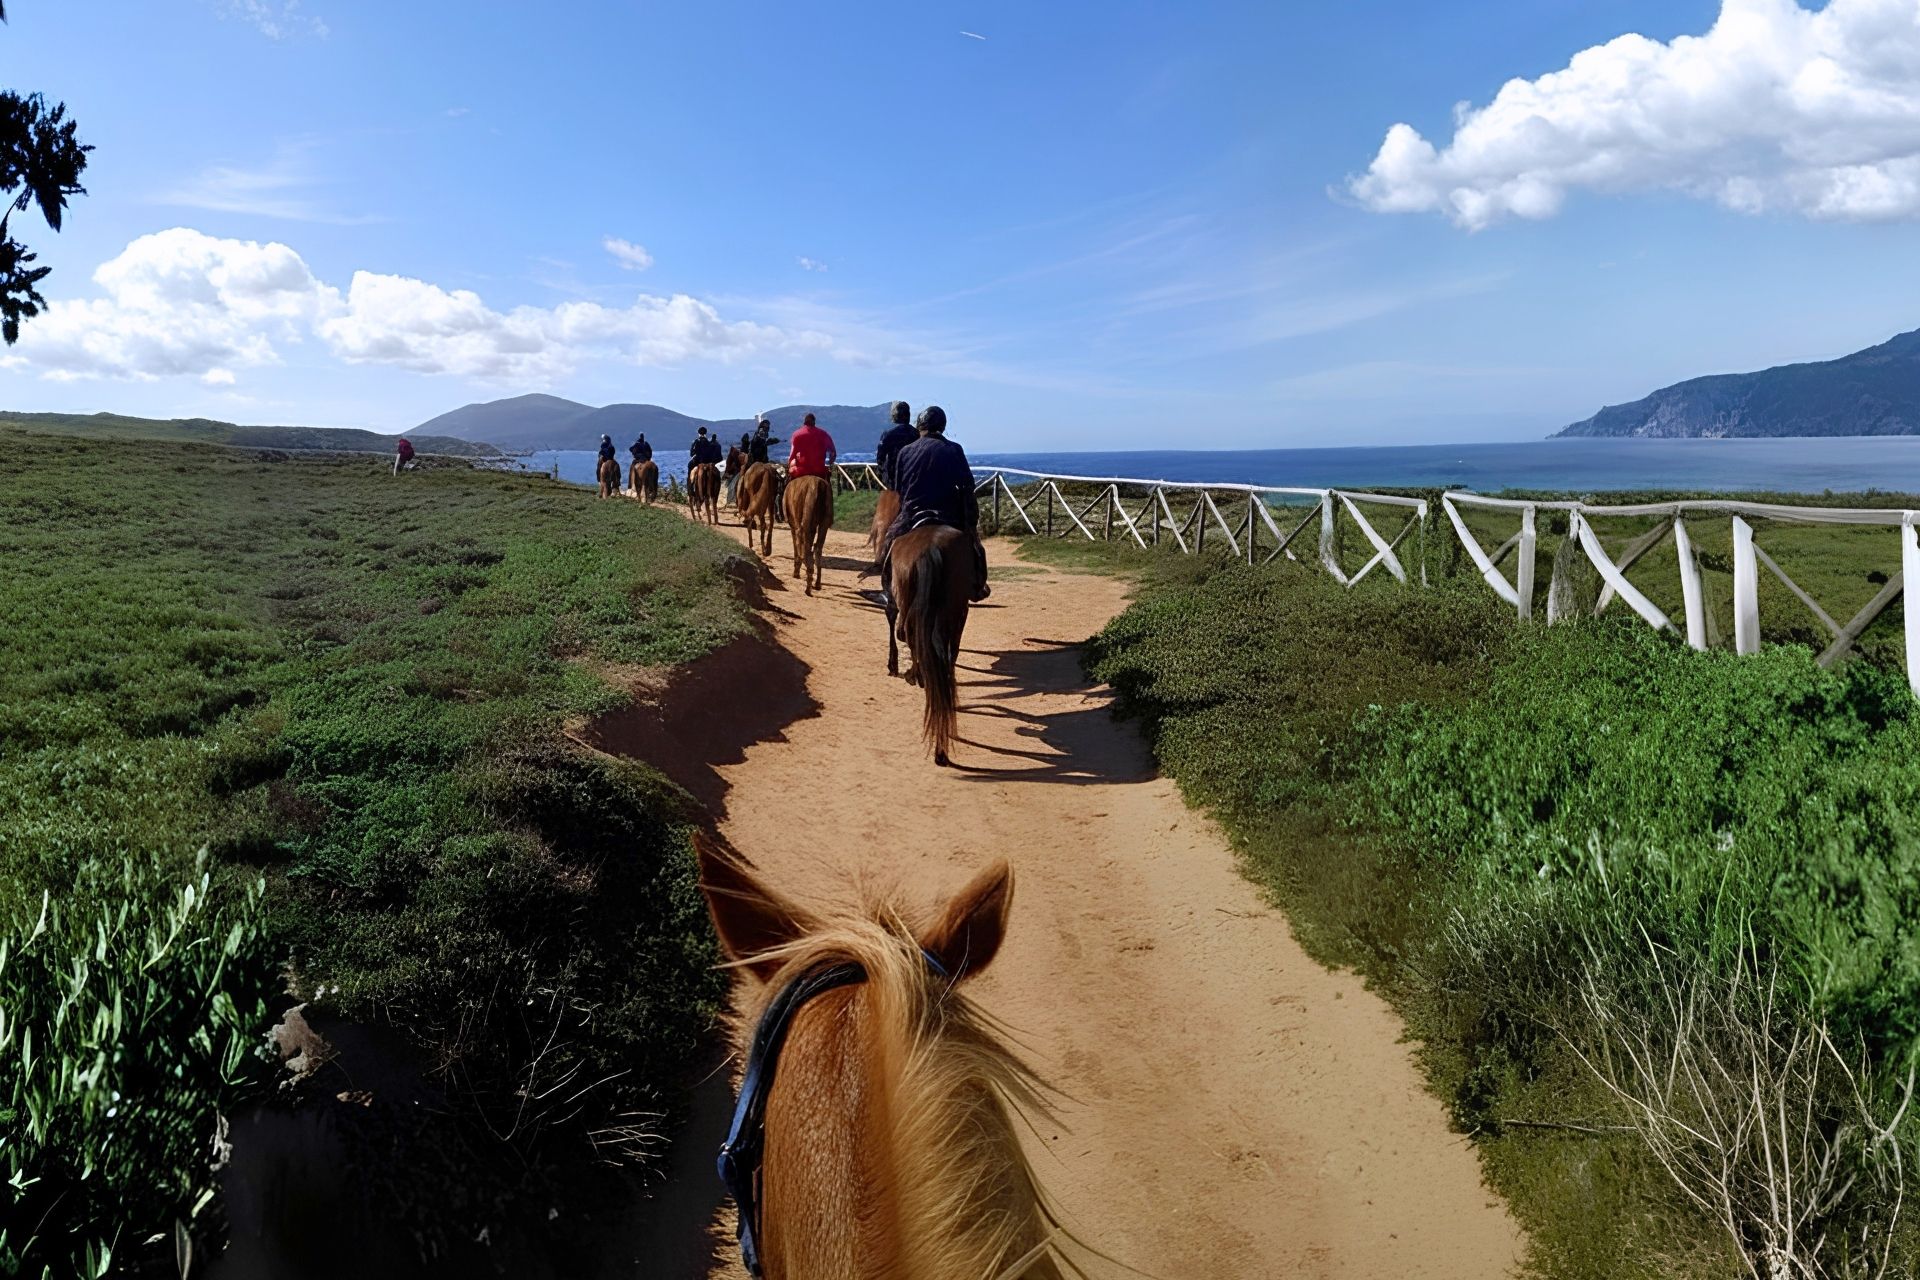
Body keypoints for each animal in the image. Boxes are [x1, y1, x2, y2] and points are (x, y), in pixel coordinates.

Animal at [885, 524, 976, 767]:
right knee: (943, 651)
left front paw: (899, 668)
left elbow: (897, 627)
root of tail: (931, 548)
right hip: (954, 609)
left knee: (910, 634)